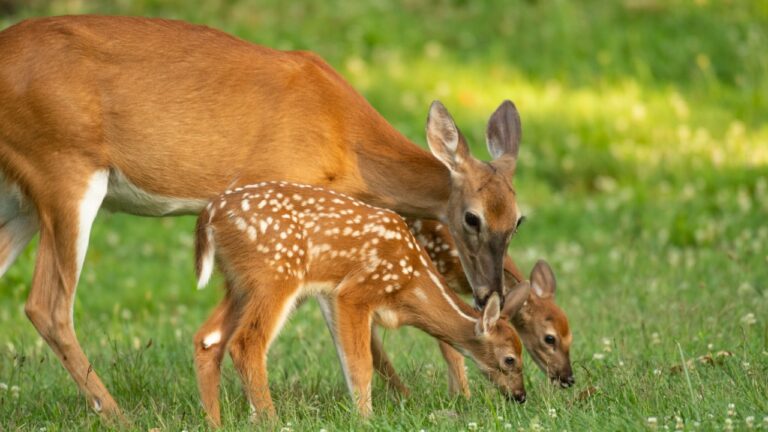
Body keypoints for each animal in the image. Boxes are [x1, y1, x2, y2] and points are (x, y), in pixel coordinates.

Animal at [193, 181, 529, 426]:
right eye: (510, 359)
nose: (521, 396)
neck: (412, 283)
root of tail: (209, 215)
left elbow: (349, 357)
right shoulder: (354, 291)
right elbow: (360, 362)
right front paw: (366, 418)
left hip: (238, 283)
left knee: (208, 339)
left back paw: (215, 423)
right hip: (275, 274)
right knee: (246, 342)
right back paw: (271, 421)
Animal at [372, 219, 574, 397]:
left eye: (571, 337)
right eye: (549, 338)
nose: (569, 378)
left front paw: (456, 394)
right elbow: (450, 346)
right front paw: (463, 395)